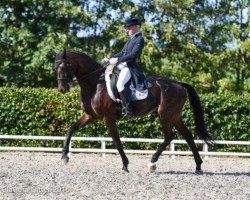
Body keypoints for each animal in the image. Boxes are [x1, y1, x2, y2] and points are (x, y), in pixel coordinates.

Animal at [53, 48, 212, 173]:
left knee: (169, 136)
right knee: (188, 136)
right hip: (174, 116)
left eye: (65, 67)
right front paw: (64, 156)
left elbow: (117, 141)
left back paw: (152, 162)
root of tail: (179, 84)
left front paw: (125, 165)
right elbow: (70, 130)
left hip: (165, 115)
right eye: (56, 68)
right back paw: (198, 166)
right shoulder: (89, 115)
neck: (95, 84)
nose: (62, 89)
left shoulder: (108, 118)